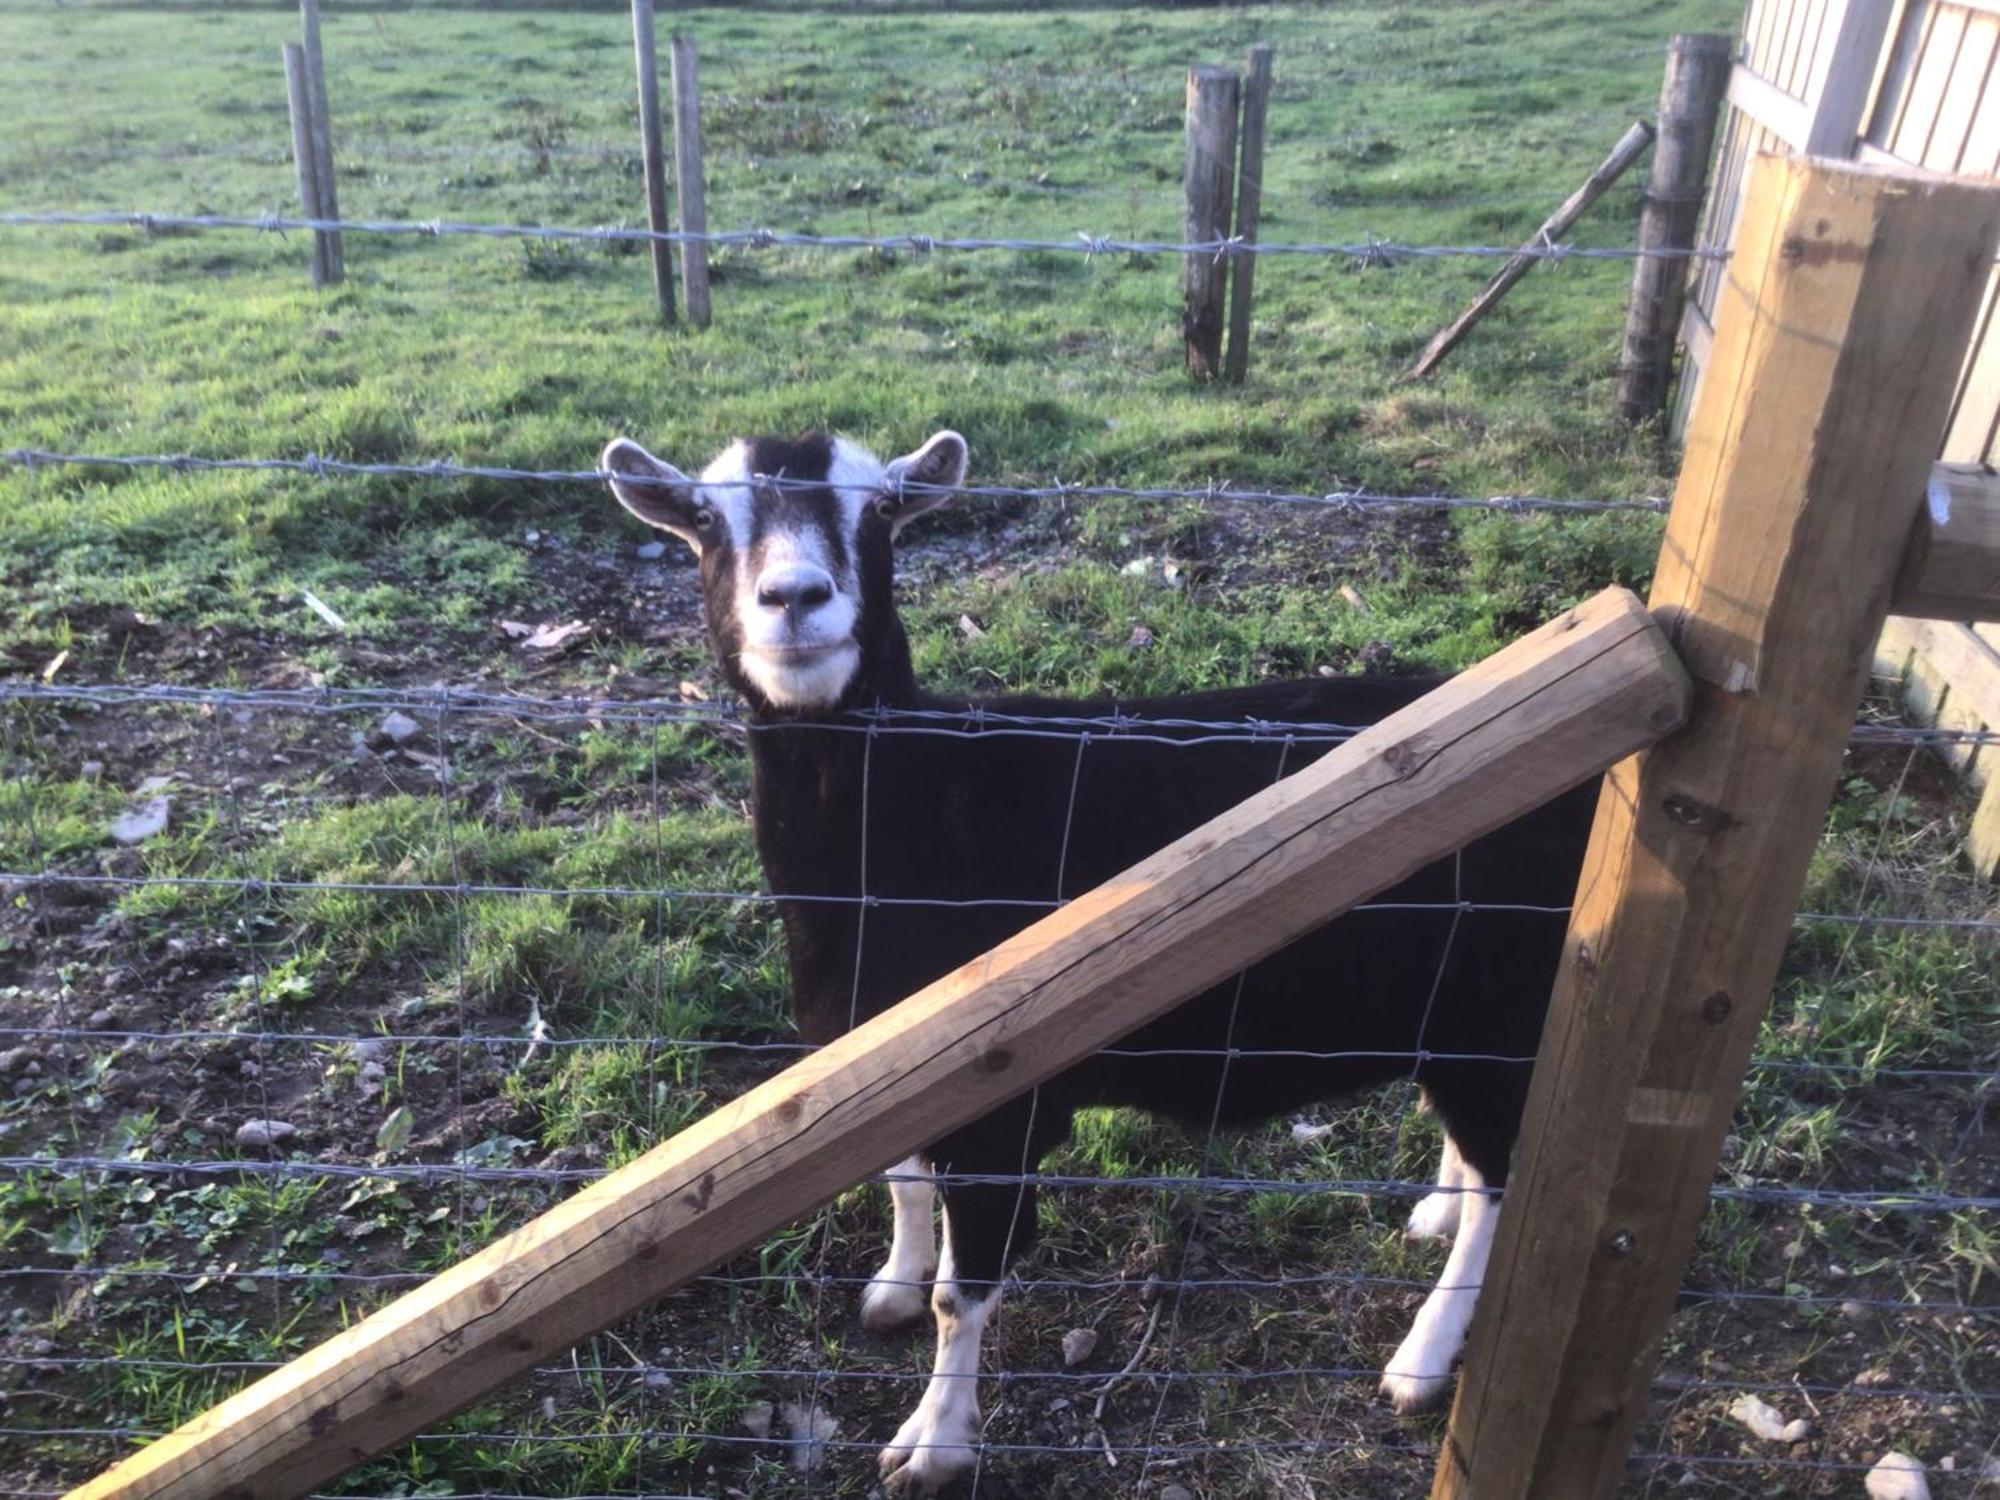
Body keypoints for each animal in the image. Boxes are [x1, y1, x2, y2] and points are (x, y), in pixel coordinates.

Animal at [600, 428, 1584, 1496]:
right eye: (705, 518)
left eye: (882, 511)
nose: (794, 598)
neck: (916, 818)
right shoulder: (873, 1058)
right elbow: (902, 1183)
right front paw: (891, 1289)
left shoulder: (999, 1096)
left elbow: (966, 1289)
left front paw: (934, 1445)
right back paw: (1434, 1215)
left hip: (1499, 997)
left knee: (1505, 1175)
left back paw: (1422, 1358)